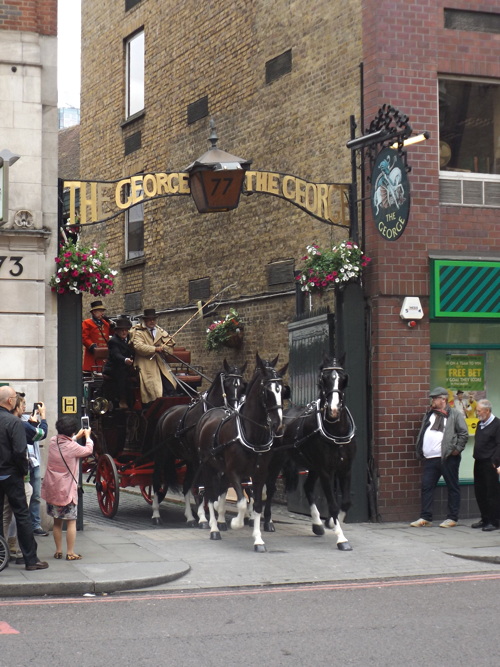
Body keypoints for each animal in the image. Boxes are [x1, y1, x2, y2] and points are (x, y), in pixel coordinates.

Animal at [151, 360, 247, 528]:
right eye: (227, 384)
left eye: (242, 386)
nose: (235, 410)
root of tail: (167, 413)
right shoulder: (201, 458)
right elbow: (203, 486)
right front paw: (204, 518)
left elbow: (212, 487)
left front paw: (216, 516)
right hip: (162, 453)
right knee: (157, 480)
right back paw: (156, 514)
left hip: (187, 459)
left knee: (186, 485)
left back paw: (190, 517)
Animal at [196, 354, 290, 552]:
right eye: (267, 391)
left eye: (281, 390)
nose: (278, 424)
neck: (252, 434)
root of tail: (210, 413)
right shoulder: (234, 472)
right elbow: (240, 502)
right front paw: (236, 523)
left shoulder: (260, 473)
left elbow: (257, 504)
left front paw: (258, 540)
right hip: (206, 465)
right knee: (208, 494)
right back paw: (214, 528)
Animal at [266, 358, 356, 552]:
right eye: (324, 379)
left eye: (343, 378)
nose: (334, 410)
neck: (337, 432)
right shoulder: (326, 471)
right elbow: (333, 505)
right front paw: (341, 538)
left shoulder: (345, 468)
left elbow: (345, 502)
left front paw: (330, 523)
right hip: (277, 461)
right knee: (269, 487)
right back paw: (268, 521)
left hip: (313, 466)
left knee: (307, 487)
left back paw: (317, 524)